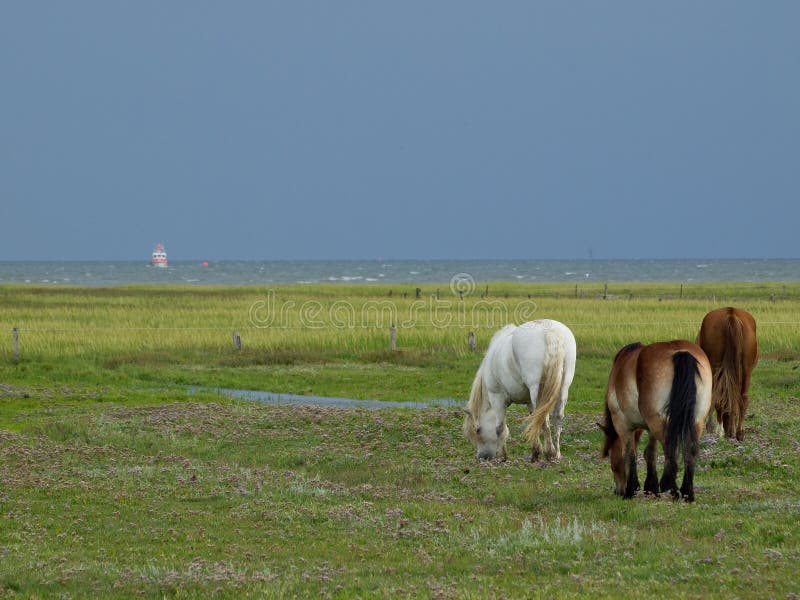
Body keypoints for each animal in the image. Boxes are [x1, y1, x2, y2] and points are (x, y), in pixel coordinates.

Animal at [462, 320, 576, 462]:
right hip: (563, 389)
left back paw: (550, 453)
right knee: (557, 418)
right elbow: (533, 421)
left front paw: (502, 456)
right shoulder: (529, 401)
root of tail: (550, 331)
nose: (482, 457)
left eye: (477, 430)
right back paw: (556, 454)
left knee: (544, 419)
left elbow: (499, 427)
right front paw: (535, 453)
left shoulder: (497, 397)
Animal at [600, 340, 712, 502]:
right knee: (690, 450)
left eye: (611, 459)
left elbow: (630, 454)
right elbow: (650, 453)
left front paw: (631, 490)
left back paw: (671, 488)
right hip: (696, 421)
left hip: (659, 423)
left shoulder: (623, 424)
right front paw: (651, 489)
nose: (618, 491)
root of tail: (680, 352)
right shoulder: (649, 427)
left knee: (670, 450)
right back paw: (687, 493)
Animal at [696, 307, 758, 441]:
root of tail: (731, 313)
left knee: (719, 397)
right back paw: (740, 433)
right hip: (747, 370)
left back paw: (719, 430)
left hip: (715, 367)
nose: (729, 431)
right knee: (743, 398)